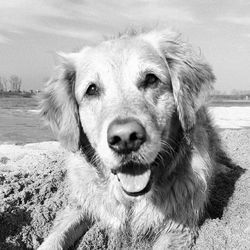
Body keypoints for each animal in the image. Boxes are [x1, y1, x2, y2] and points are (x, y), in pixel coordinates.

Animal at [38, 28, 223, 249]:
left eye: (151, 79)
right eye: (92, 89)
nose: (125, 139)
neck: (131, 201)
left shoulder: (179, 228)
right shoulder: (80, 205)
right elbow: (55, 237)